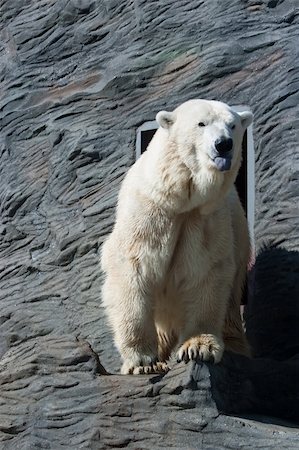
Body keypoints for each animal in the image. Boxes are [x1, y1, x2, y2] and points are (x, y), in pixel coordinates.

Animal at [101, 99, 253, 376]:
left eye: (233, 125)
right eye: (201, 123)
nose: (224, 144)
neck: (181, 197)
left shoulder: (206, 218)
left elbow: (205, 271)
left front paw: (198, 347)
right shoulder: (150, 212)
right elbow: (133, 269)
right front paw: (142, 361)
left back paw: (236, 348)